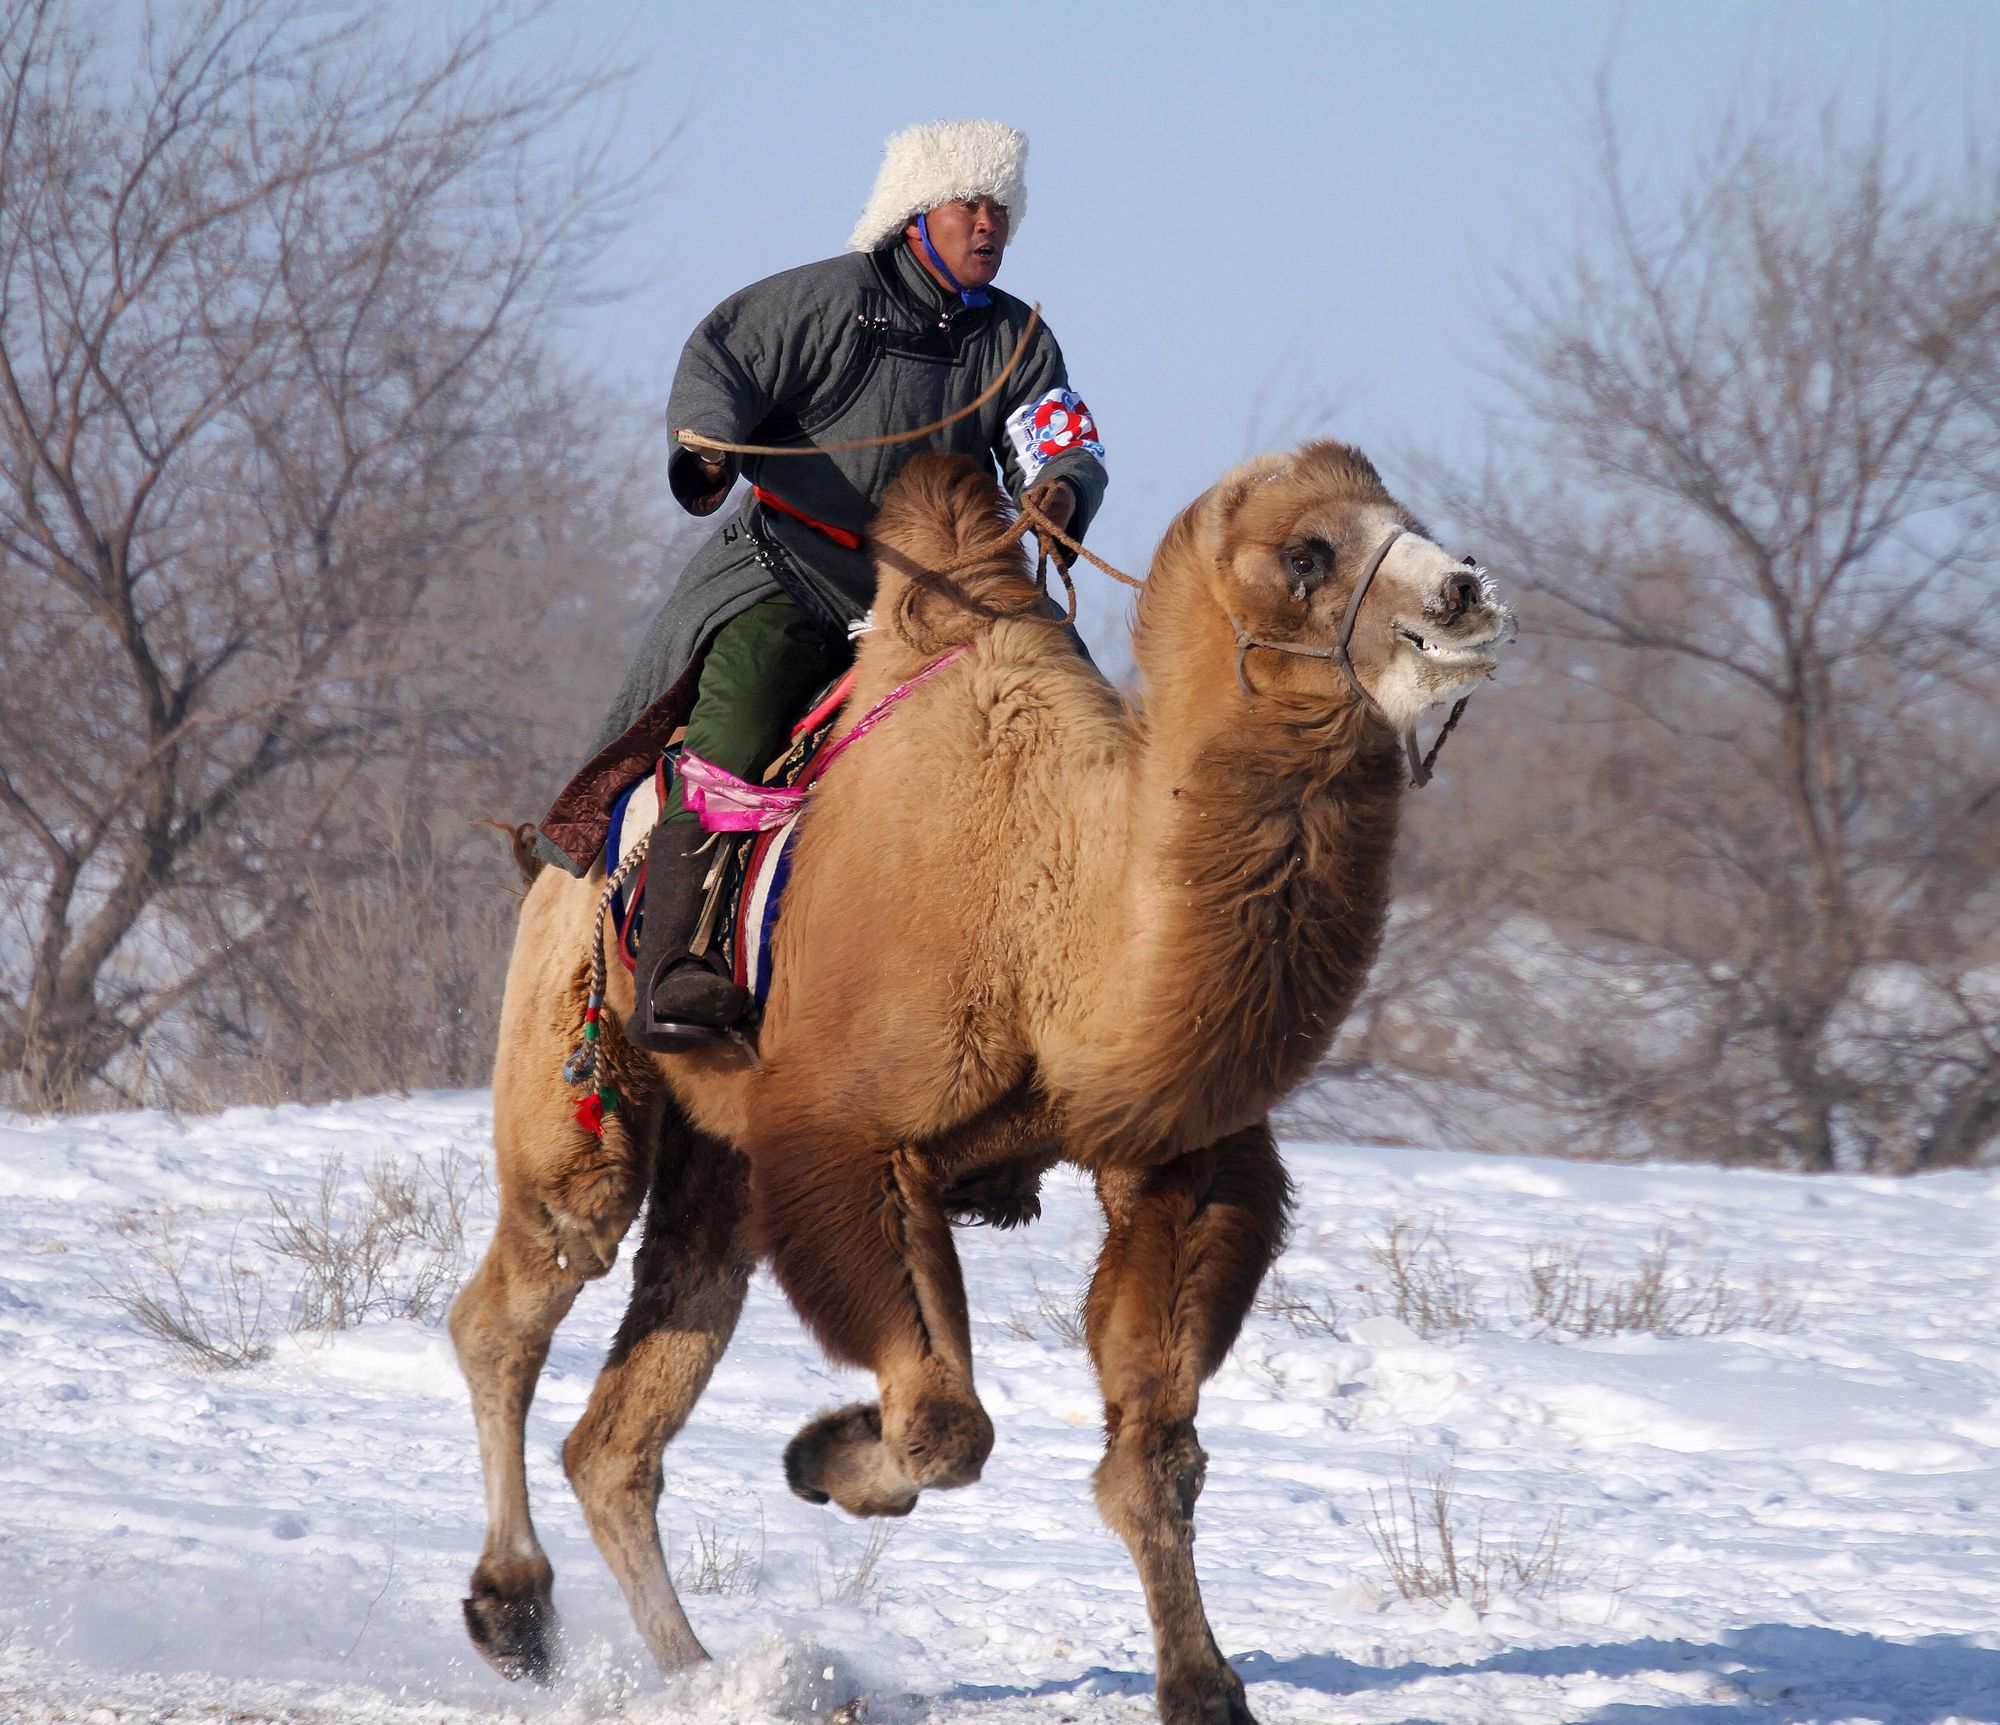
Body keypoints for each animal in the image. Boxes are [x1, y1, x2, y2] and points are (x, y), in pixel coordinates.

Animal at [450, 446, 1512, 1725]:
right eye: (1307, 553)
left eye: (1407, 518)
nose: (1463, 591)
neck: (1058, 900)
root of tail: (554, 851)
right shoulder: (851, 1137)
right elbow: (947, 1423)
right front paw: (826, 1454)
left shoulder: (1171, 1161)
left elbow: (1154, 1454)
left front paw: (1204, 1688)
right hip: (581, 1060)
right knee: (523, 1291)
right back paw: (513, 1612)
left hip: (722, 1160)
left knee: (627, 1414)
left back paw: (701, 1672)